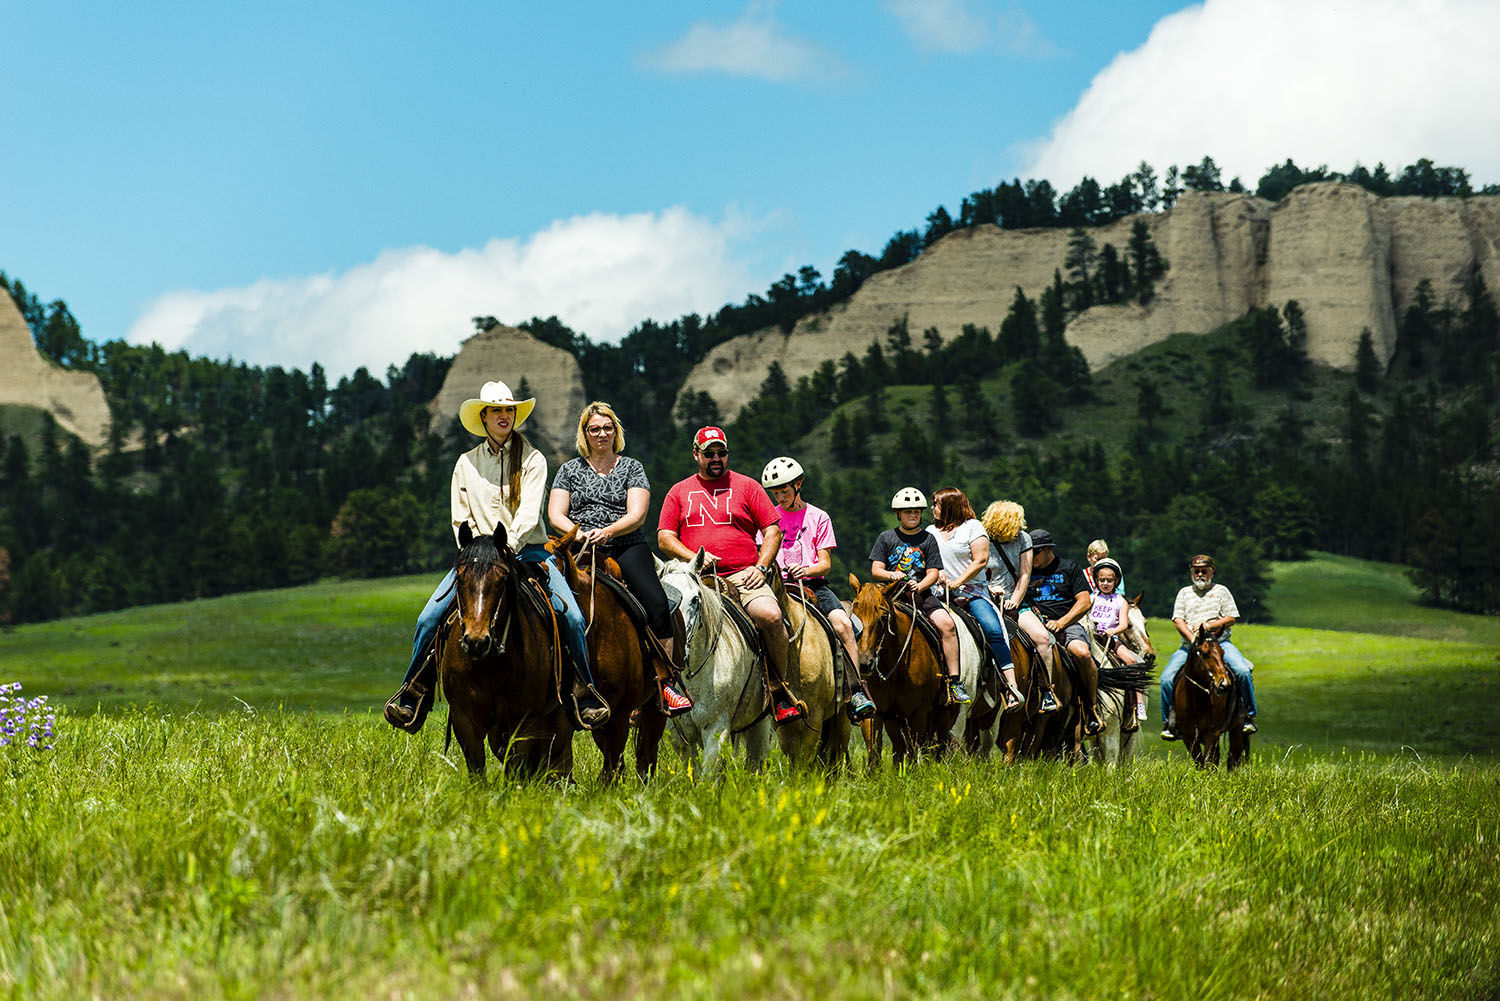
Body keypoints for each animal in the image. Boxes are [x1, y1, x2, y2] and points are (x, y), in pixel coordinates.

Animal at [438, 525, 573, 780]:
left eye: (502, 579)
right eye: (459, 578)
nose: (476, 641)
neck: (490, 664)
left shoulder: (524, 720)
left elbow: (518, 767)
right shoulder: (464, 719)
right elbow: (477, 768)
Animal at [657, 552, 774, 780]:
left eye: (695, 599)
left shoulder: (716, 729)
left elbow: (707, 777)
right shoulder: (679, 735)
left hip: (760, 724)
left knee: (756, 761)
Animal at [1170, 621, 1254, 774]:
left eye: (1222, 653)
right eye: (1204, 653)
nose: (1225, 684)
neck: (1196, 698)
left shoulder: (1212, 732)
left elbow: (1208, 761)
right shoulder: (1188, 734)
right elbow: (1200, 761)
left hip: (1237, 729)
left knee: (1232, 760)